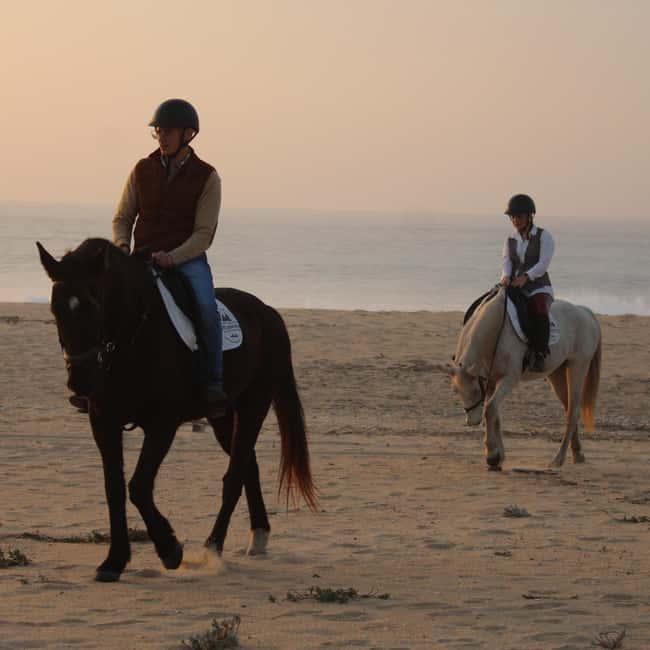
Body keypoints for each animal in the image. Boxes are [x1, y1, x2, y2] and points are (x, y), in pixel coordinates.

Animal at [37, 238, 317, 582]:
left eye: (93, 305)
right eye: (55, 309)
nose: (80, 380)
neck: (132, 338)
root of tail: (268, 312)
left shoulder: (162, 424)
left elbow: (139, 486)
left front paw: (170, 549)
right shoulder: (104, 422)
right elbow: (114, 488)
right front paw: (114, 561)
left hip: (254, 405)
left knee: (234, 475)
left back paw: (213, 547)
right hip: (223, 417)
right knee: (247, 465)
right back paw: (259, 536)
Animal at [434, 287, 601, 470]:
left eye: (476, 390)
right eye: (455, 391)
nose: (471, 421)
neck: (495, 330)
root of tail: (584, 312)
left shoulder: (509, 379)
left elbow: (490, 409)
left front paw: (491, 456)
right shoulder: (492, 380)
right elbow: (495, 415)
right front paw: (497, 457)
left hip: (578, 367)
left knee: (573, 411)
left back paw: (558, 459)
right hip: (557, 373)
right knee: (568, 407)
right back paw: (578, 454)